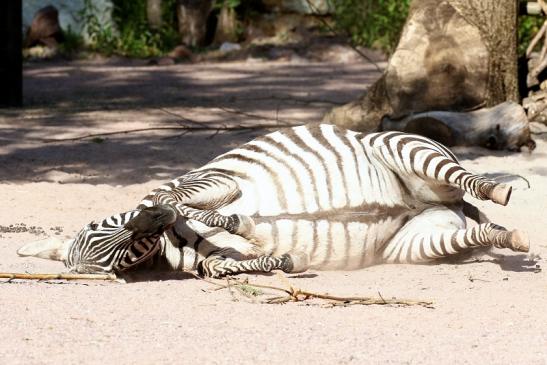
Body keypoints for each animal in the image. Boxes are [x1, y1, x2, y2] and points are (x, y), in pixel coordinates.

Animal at [18, 123, 532, 278]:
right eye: (122, 262)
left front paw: (190, 212)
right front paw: (282, 259)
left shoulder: (216, 179)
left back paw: (499, 188)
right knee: (481, 231)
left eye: (98, 228)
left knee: (469, 180)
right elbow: (233, 261)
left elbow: (183, 198)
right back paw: (511, 236)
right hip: (418, 243)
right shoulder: (212, 263)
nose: (151, 223)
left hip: (402, 148)